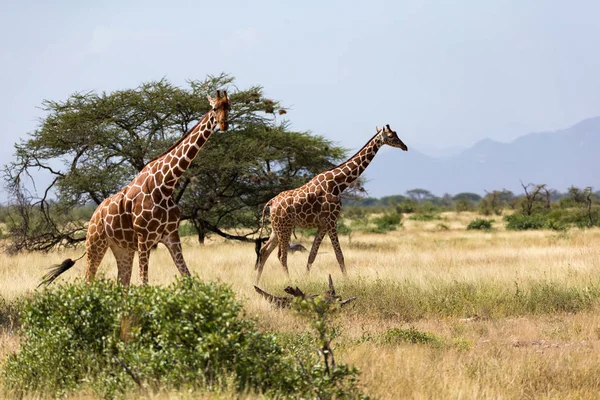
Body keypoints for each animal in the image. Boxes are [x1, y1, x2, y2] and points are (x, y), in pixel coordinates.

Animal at [40, 90, 232, 288]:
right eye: (214, 108)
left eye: (229, 107)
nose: (223, 124)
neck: (166, 184)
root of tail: (94, 215)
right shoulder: (144, 238)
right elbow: (144, 283)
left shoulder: (171, 236)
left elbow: (188, 277)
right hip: (95, 244)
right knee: (89, 280)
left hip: (122, 249)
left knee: (122, 283)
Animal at [253, 125, 408, 284]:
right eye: (391, 136)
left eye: (396, 134)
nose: (405, 147)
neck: (338, 184)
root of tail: (271, 202)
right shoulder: (332, 220)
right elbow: (339, 255)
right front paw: (348, 282)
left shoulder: (323, 224)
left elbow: (312, 255)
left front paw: (305, 280)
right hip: (285, 227)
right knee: (281, 256)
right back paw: (288, 282)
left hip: (276, 228)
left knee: (264, 251)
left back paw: (256, 283)